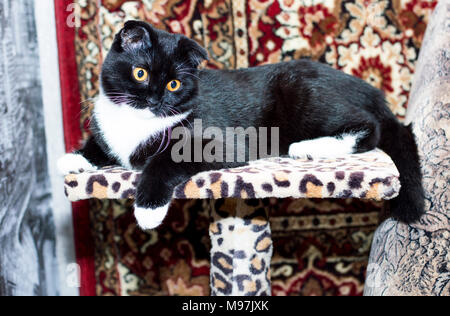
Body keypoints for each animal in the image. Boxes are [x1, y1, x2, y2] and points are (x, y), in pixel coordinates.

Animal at [58, 21, 424, 230]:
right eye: (140, 73)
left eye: (174, 84)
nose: (154, 100)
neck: (136, 122)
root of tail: (368, 88)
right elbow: (99, 145)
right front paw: (73, 158)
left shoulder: (218, 140)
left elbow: (164, 160)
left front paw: (147, 209)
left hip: (305, 94)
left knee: (370, 127)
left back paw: (307, 147)